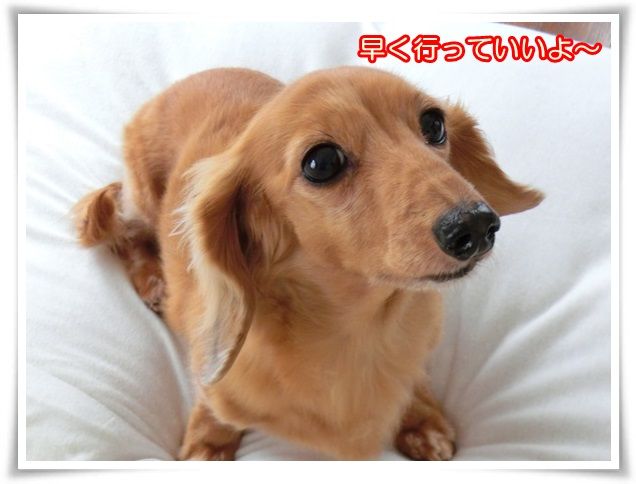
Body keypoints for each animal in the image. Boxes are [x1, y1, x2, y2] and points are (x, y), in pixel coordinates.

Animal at [74, 66, 543, 460]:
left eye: (434, 123)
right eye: (322, 162)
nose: (477, 225)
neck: (358, 329)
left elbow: (414, 381)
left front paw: (421, 419)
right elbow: (216, 406)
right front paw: (209, 444)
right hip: (142, 199)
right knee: (127, 232)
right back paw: (153, 280)